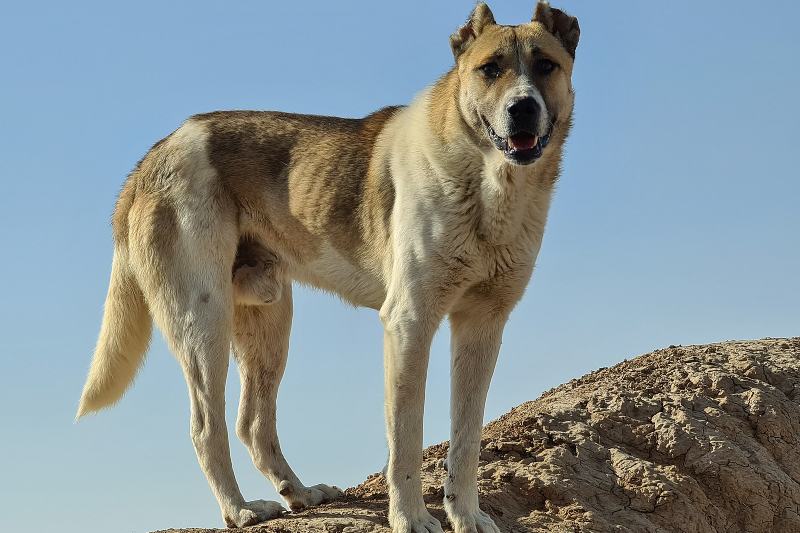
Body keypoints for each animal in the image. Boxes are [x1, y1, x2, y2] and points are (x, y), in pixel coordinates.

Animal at [78, 2, 580, 528]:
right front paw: (410, 518)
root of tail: (154, 153)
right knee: (205, 426)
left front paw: (467, 517)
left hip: (269, 320)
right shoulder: (409, 322)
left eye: (546, 65)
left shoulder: (482, 325)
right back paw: (239, 508)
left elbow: (467, 438)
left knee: (252, 422)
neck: (491, 186)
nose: (522, 108)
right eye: (490, 69)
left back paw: (297, 492)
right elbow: (406, 436)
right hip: (203, 322)